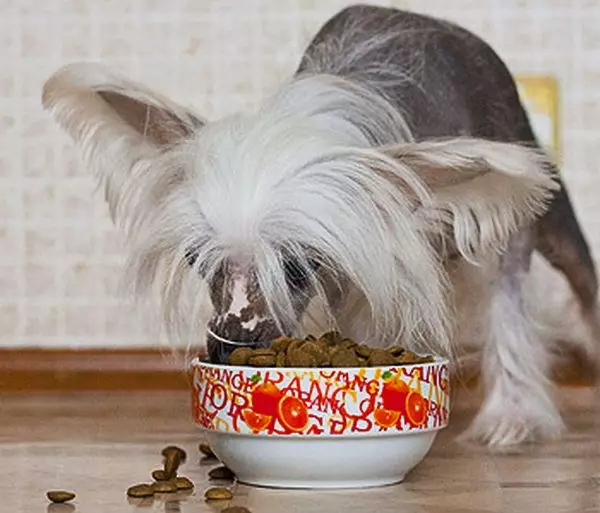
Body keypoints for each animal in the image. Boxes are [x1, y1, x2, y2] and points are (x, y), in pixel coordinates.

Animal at [39, 3, 596, 444]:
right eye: (197, 260)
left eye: (297, 265)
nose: (229, 346)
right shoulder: (352, 270)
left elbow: (509, 312)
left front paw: (514, 418)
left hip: (551, 213)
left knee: (574, 281)